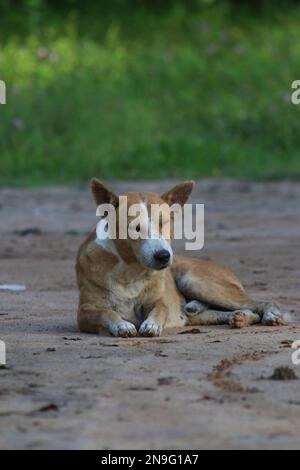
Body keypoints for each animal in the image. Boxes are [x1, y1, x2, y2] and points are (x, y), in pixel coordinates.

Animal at [76, 178, 290, 336]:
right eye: (135, 227)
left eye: (164, 222)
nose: (163, 256)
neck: (131, 271)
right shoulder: (84, 312)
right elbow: (106, 312)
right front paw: (121, 325)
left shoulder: (158, 301)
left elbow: (160, 308)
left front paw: (152, 325)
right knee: (239, 311)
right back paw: (239, 317)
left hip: (194, 281)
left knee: (260, 303)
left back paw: (270, 315)